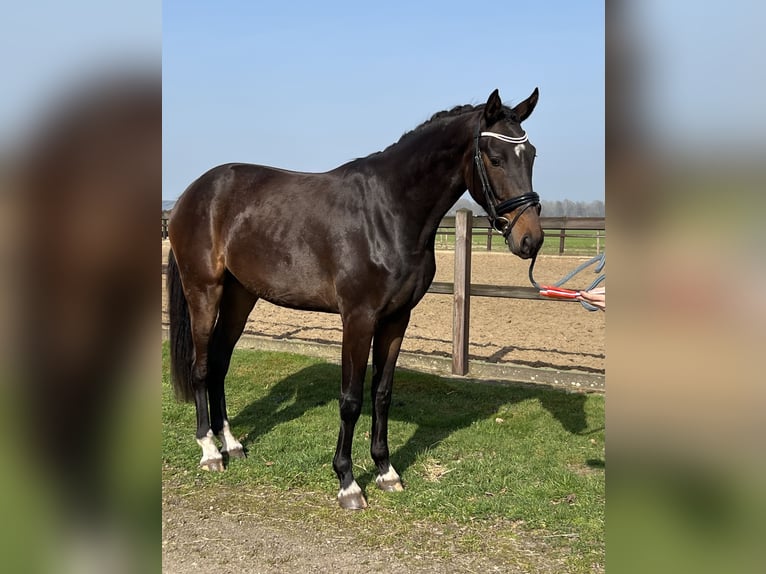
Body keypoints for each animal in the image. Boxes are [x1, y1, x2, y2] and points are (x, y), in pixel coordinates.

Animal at [166, 88, 544, 509]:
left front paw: (386, 472)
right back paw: (209, 451)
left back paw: (231, 444)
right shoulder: (358, 319)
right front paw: (347, 482)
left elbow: (381, 394)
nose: (530, 239)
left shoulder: (396, 319)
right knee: (201, 367)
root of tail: (191, 194)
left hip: (240, 297)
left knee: (219, 363)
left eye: (531, 155)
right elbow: (350, 400)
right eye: (495, 158)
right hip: (204, 291)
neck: (388, 212)